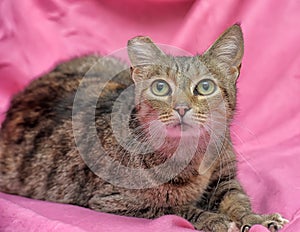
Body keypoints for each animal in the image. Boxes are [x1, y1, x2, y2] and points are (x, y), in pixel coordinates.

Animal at [0, 24, 288, 231]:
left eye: (205, 86)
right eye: (160, 87)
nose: (181, 107)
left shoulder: (225, 178)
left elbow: (237, 200)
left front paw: (255, 218)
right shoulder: (116, 200)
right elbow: (175, 208)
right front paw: (212, 219)